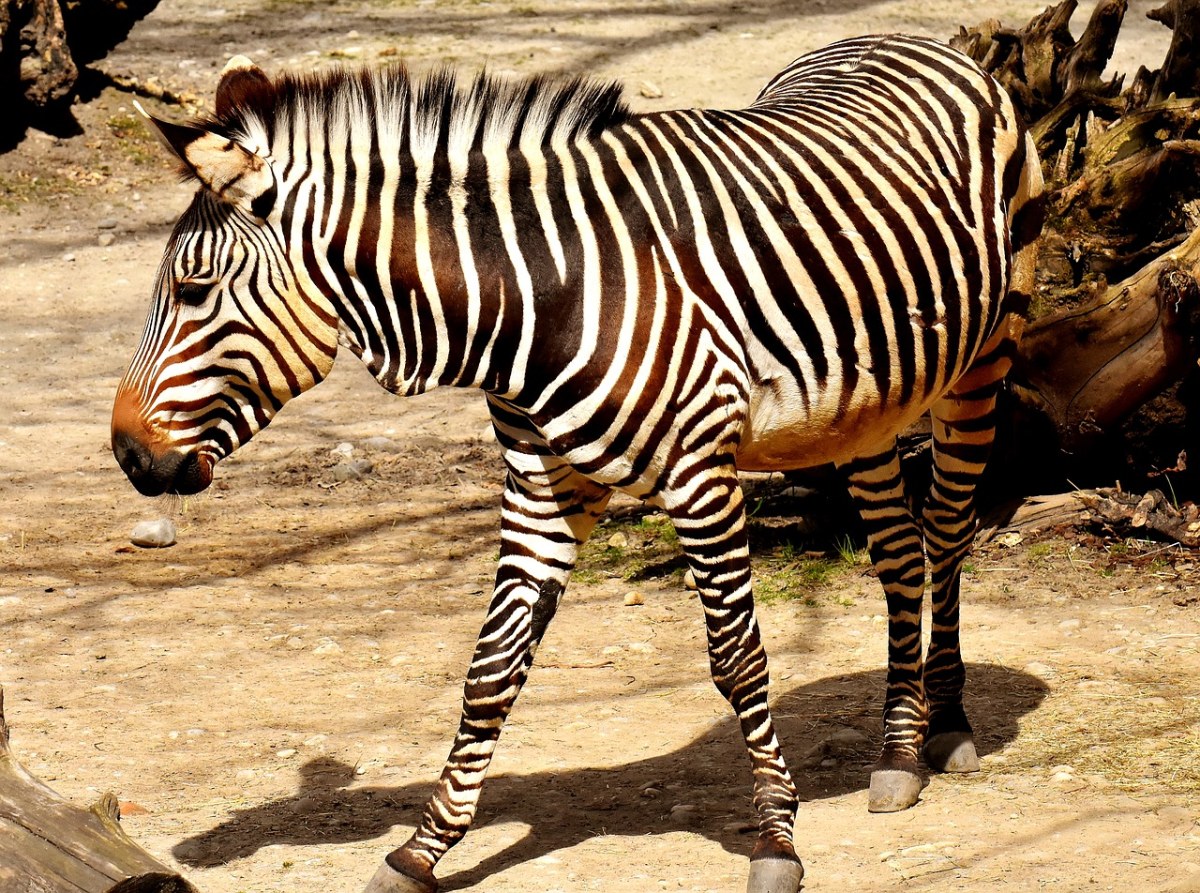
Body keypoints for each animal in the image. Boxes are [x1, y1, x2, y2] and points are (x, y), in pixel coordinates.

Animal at [114, 34, 1041, 893]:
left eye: (193, 289)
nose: (127, 453)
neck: (530, 299)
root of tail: (917, 40)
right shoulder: (541, 481)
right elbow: (489, 670)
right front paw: (421, 850)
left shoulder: (701, 478)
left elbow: (738, 659)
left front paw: (778, 839)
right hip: (863, 405)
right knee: (897, 554)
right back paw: (899, 750)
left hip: (983, 359)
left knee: (946, 533)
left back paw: (947, 724)